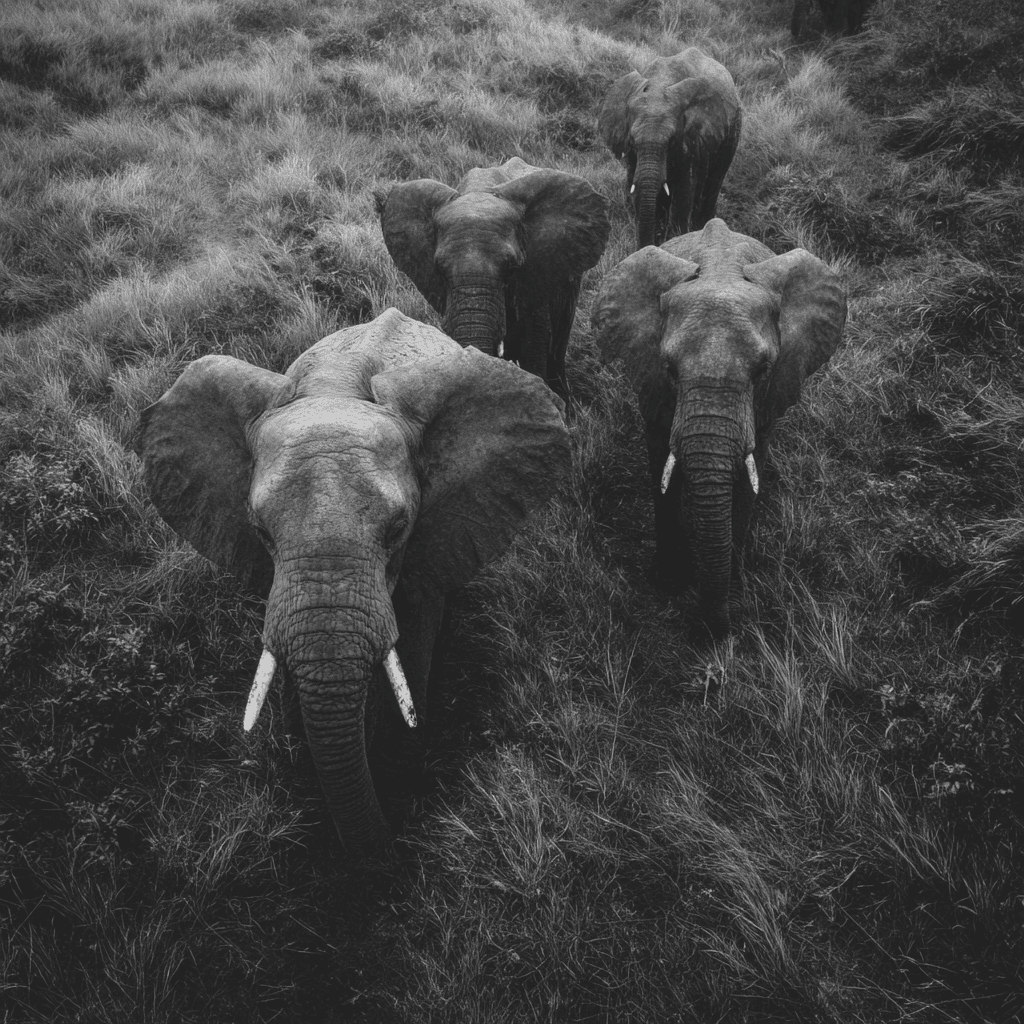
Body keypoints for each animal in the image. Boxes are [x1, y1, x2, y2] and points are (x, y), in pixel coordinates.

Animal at [135, 308, 571, 857]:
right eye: (261, 533)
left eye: (398, 528)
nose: (387, 846)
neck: (335, 387)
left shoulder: (430, 539)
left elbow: (417, 632)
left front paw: (398, 778)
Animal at [591, 219, 846, 639]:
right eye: (669, 369)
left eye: (762, 370)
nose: (712, 631)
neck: (721, 273)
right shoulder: (650, 378)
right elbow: (660, 461)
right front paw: (668, 582)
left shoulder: (769, 395)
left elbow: (749, 471)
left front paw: (734, 586)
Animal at [598, 48, 742, 252]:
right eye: (632, 140)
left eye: (672, 139)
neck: (660, 83)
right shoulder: (633, 155)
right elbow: (639, 190)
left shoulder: (691, 142)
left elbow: (683, 194)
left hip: (732, 134)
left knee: (713, 184)